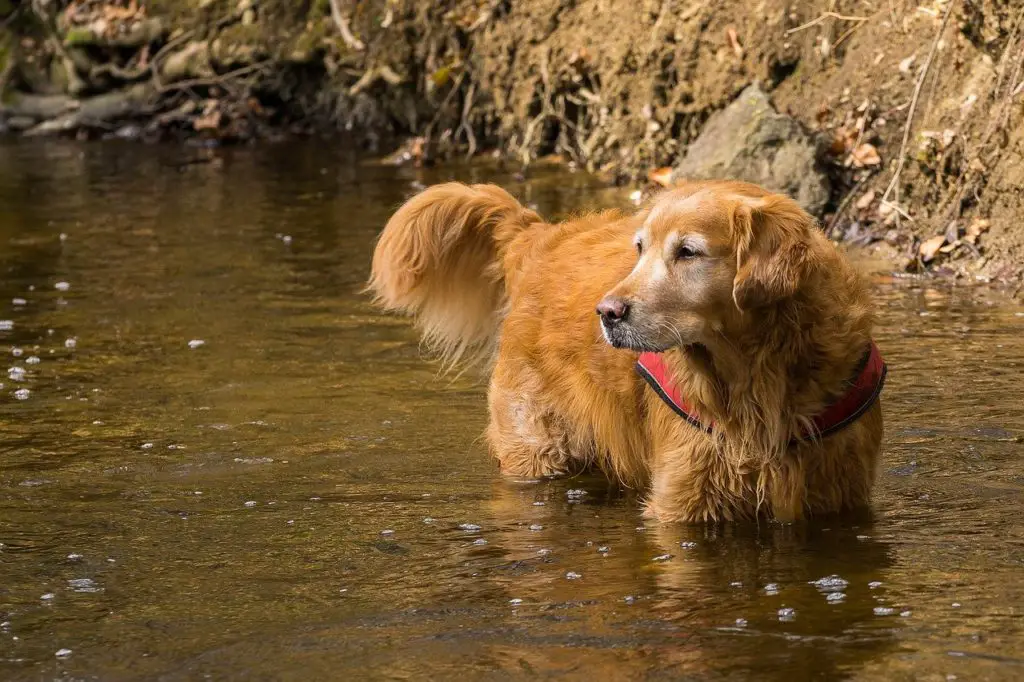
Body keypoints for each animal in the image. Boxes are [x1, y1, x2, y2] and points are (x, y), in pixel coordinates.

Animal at [368, 179, 888, 520]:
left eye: (688, 252)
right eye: (640, 249)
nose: (607, 312)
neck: (755, 370)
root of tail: (538, 236)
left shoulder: (840, 490)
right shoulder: (683, 497)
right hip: (535, 447)